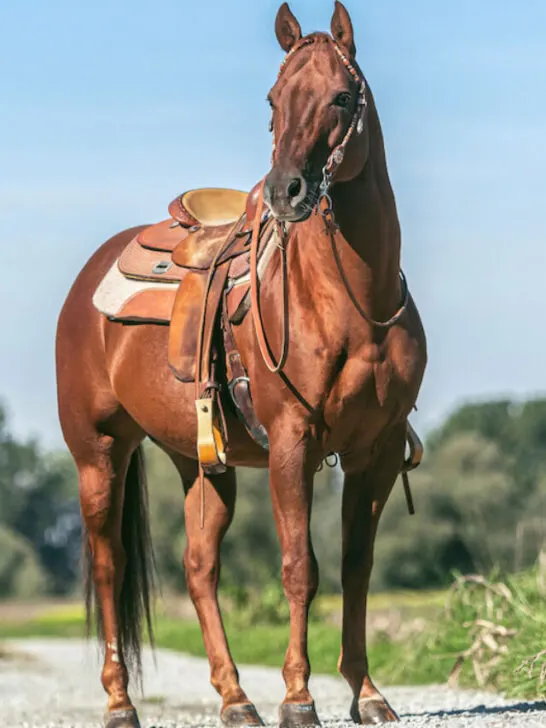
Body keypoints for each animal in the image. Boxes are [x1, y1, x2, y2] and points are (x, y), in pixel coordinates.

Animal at [55, 3, 426, 727]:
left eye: (342, 97)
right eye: (274, 100)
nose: (287, 191)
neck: (353, 303)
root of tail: (90, 277)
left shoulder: (375, 450)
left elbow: (356, 567)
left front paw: (367, 693)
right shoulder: (292, 442)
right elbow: (299, 567)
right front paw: (299, 698)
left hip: (199, 463)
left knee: (199, 567)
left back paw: (234, 699)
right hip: (99, 453)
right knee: (109, 564)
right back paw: (120, 703)